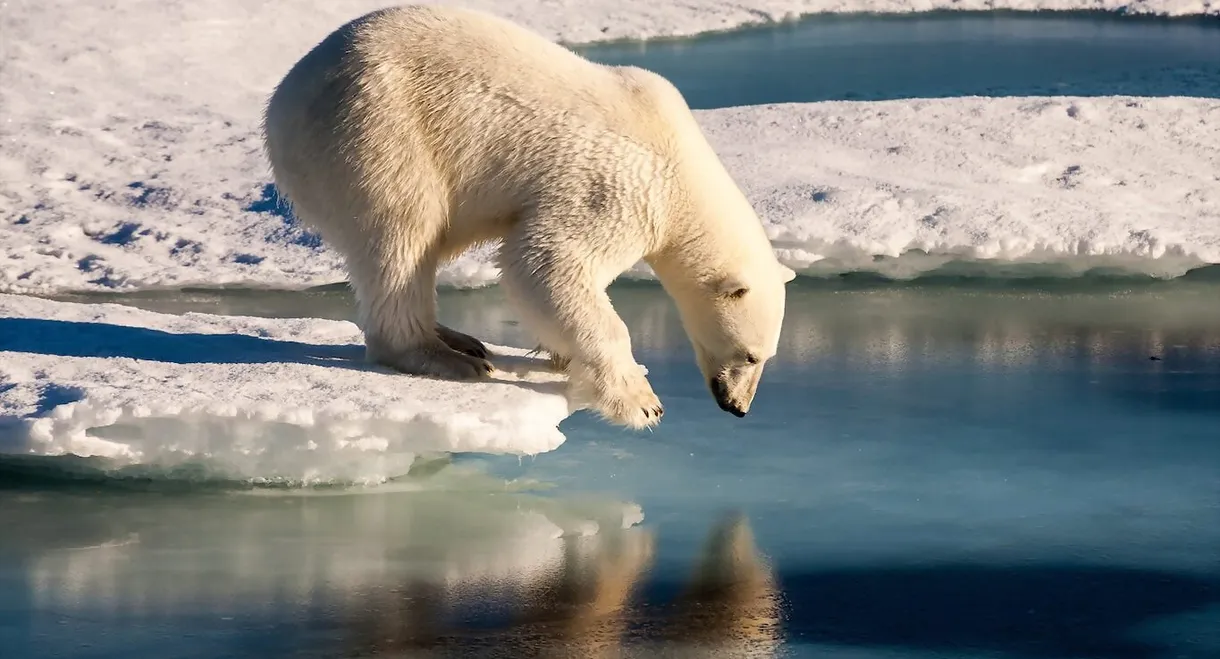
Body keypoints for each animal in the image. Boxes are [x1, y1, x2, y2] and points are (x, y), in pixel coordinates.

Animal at [262, 4, 796, 430]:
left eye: (766, 356)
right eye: (750, 354)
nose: (737, 407)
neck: (680, 163)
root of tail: (282, 101)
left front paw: (559, 352)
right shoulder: (618, 186)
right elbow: (544, 260)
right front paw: (641, 401)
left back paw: (460, 339)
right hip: (377, 132)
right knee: (403, 234)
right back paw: (444, 357)